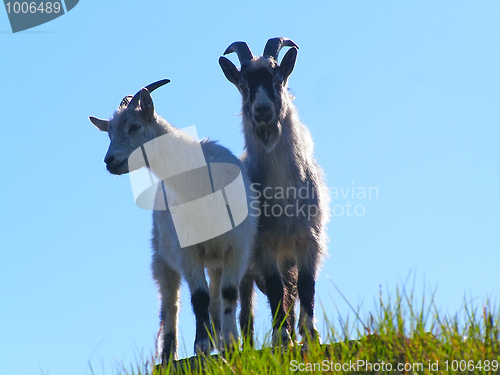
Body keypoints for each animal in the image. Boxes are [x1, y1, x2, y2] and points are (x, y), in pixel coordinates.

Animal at [220, 37, 330, 346]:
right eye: (243, 86)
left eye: (279, 80)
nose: (262, 110)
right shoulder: (263, 246)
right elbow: (274, 288)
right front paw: (282, 338)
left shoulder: (309, 240)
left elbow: (305, 287)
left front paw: (310, 335)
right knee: (246, 309)